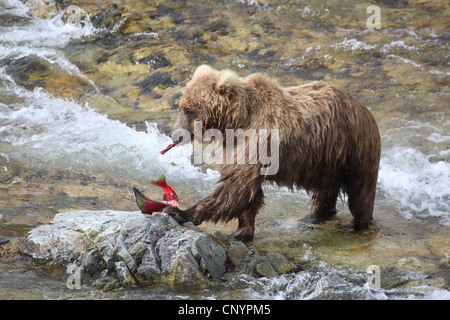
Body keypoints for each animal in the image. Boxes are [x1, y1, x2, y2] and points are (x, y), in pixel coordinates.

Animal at [163, 65, 382, 241]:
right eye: (182, 106)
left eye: (190, 109)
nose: (175, 135)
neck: (236, 121)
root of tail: (364, 108)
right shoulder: (237, 147)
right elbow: (247, 191)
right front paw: (242, 231)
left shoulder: (258, 139)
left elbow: (236, 186)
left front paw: (179, 211)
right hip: (325, 159)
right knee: (326, 190)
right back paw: (313, 216)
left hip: (354, 148)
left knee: (360, 191)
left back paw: (357, 224)